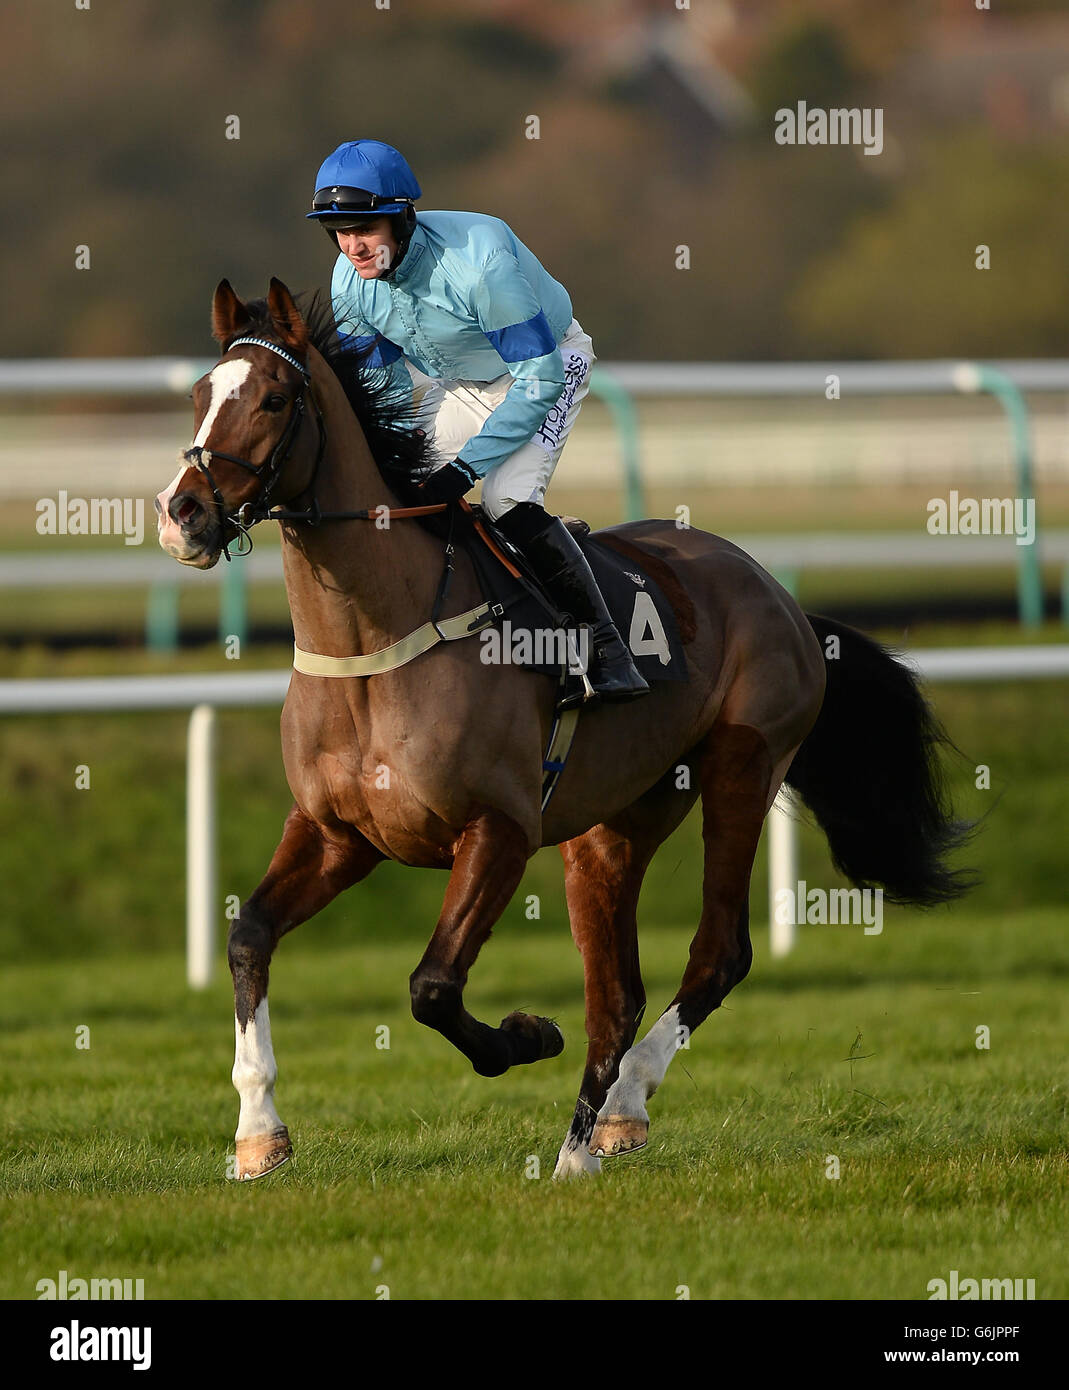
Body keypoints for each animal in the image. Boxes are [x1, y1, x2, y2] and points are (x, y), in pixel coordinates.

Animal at [154, 276, 973, 1178]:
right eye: (200, 396)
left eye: (272, 398)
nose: (181, 514)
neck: (377, 642)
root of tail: (778, 594)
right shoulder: (339, 833)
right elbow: (248, 936)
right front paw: (257, 1132)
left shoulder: (499, 830)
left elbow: (432, 986)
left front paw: (522, 1035)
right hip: (612, 827)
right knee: (616, 994)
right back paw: (581, 1153)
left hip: (741, 767)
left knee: (717, 954)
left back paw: (624, 1104)